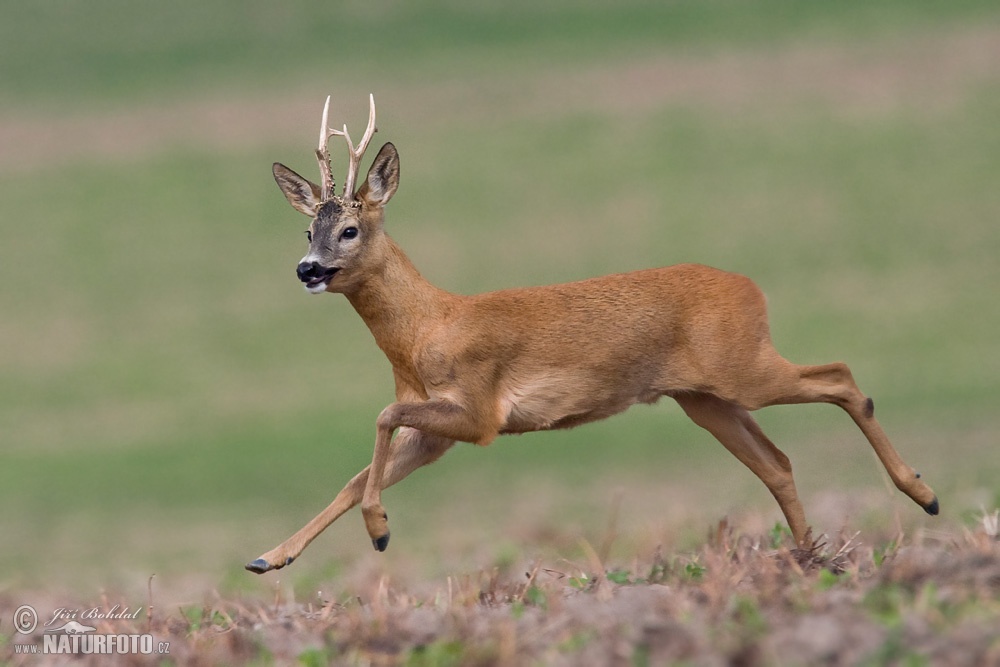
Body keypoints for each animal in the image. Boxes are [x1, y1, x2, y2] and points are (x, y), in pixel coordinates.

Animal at [244, 94, 936, 576]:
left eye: (350, 230)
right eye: (307, 230)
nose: (308, 269)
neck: (426, 329)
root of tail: (750, 287)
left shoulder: (480, 413)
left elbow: (382, 419)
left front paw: (380, 531)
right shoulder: (437, 432)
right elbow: (358, 473)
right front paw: (269, 557)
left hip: (743, 368)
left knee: (842, 378)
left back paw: (921, 495)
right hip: (705, 398)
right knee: (779, 461)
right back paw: (813, 559)